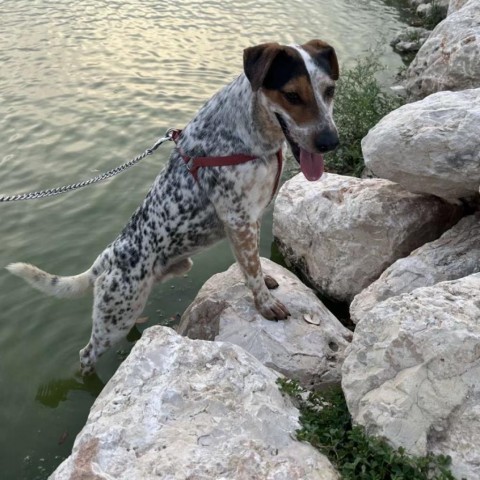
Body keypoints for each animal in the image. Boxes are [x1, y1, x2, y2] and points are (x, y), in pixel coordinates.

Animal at [6, 39, 338, 374]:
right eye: (292, 95)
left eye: (330, 90)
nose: (331, 141)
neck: (252, 135)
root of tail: (105, 259)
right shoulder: (238, 219)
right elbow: (252, 268)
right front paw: (266, 303)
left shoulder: (250, 217)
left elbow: (252, 263)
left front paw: (264, 282)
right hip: (115, 316)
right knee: (86, 354)